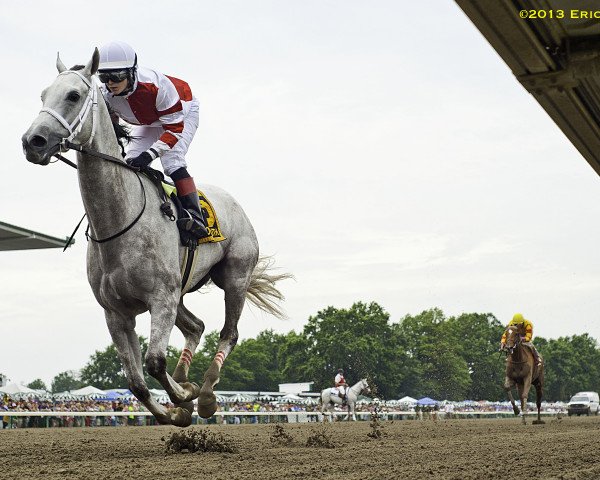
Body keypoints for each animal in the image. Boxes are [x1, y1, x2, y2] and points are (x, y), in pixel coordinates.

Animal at [24, 48, 292, 428]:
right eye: (43, 95)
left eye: (73, 96)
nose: (32, 141)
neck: (118, 220)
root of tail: (233, 203)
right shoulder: (116, 312)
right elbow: (136, 380)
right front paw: (174, 407)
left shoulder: (161, 299)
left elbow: (153, 363)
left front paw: (185, 397)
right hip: (181, 290)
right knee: (196, 327)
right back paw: (186, 380)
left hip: (235, 276)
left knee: (229, 333)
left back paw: (206, 393)